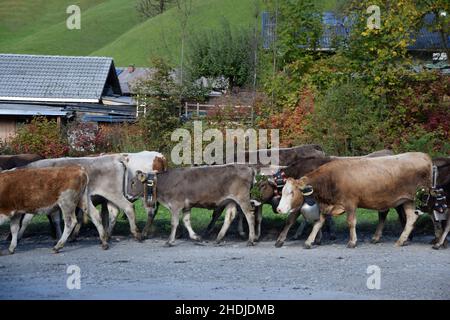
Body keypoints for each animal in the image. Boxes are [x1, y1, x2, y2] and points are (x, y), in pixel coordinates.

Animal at [278, 152, 432, 248]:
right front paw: (309, 241)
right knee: (411, 218)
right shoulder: (326, 206)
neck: (331, 178)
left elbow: (351, 222)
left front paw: (352, 242)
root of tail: (423, 156)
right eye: (283, 191)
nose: (279, 209)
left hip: (424, 197)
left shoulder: (351, 203)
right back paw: (401, 240)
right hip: (407, 200)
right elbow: (318, 223)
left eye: (291, 192)